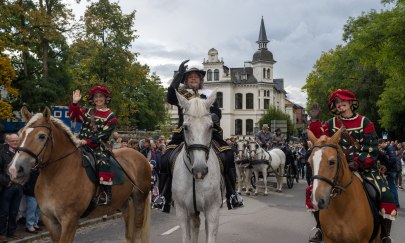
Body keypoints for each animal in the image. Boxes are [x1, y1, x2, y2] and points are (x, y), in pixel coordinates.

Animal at [7, 107, 152, 243]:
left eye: (41, 136)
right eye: (20, 134)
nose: (15, 169)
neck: (56, 174)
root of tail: (141, 156)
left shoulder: (70, 220)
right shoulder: (50, 220)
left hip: (139, 199)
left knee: (137, 229)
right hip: (125, 202)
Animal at [171, 91, 223, 243]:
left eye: (210, 126)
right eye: (185, 127)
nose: (200, 170)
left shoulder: (212, 210)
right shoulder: (182, 211)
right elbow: (186, 237)